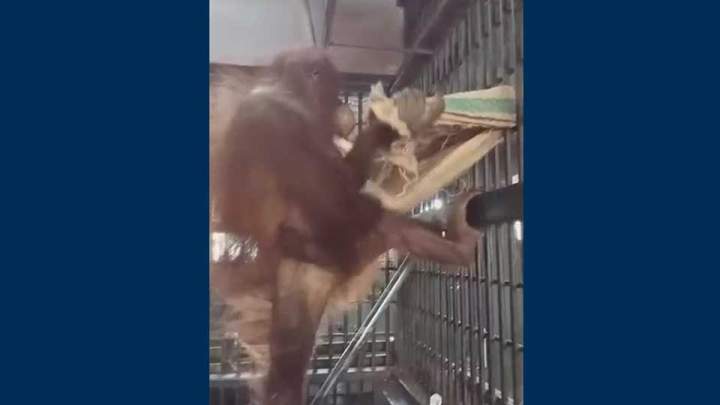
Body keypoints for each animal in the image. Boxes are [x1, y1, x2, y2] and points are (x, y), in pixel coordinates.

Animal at [210, 48, 480, 405]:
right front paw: (385, 126)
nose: (343, 104)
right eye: (333, 90)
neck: (288, 93)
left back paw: (460, 246)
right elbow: (341, 197)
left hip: (309, 278)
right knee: (368, 220)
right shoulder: (276, 117)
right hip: (306, 268)